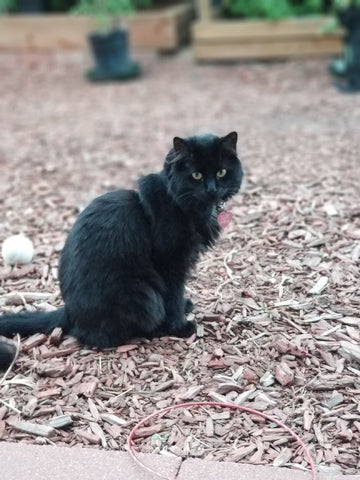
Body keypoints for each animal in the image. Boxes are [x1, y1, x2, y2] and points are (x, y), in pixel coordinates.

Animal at [0, 133, 243, 370]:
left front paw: (183, 309)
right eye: (196, 176)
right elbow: (173, 297)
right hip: (142, 293)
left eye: (221, 172)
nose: (212, 189)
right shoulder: (170, 263)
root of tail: (69, 312)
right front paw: (180, 327)